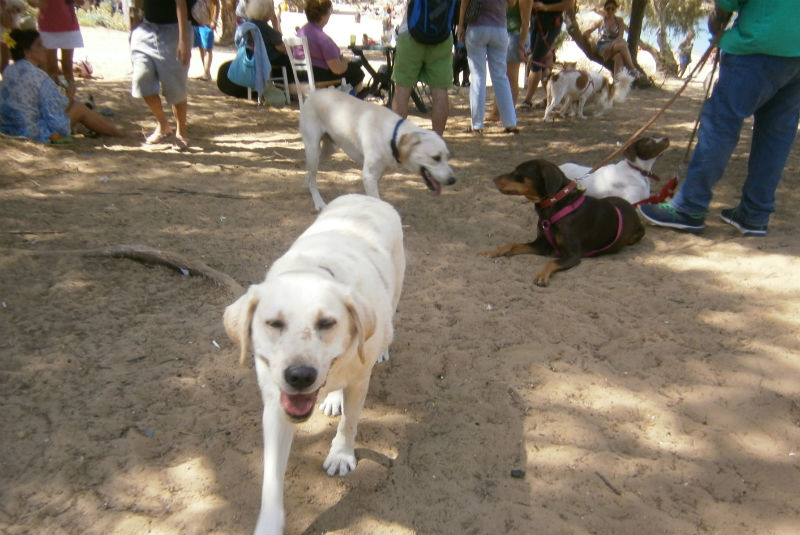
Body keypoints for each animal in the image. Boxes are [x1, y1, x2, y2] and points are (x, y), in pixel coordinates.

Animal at [223, 195, 406, 532]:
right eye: (274, 323)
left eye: (327, 323)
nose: (299, 376)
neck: (312, 270)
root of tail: (365, 196)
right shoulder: (276, 405)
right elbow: (271, 478)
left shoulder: (359, 381)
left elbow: (349, 423)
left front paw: (341, 456)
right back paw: (333, 397)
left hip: (395, 290)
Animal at [300, 87, 456, 209]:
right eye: (436, 158)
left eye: (447, 156)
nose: (452, 180)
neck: (392, 136)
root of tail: (313, 93)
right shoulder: (369, 176)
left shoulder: (377, 174)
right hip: (313, 148)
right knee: (313, 176)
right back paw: (319, 202)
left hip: (329, 149)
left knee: (311, 174)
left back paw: (306, 184)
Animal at [482, 159, 644, 286]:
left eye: (519, 172)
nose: (494, 179)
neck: (554, 205)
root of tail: (630, 205)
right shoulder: (541, 245)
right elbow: (513, 245)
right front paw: (493, 251)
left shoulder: (572, 255)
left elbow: (552, 262)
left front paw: (542, 276)